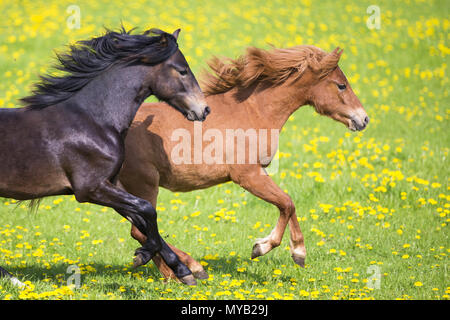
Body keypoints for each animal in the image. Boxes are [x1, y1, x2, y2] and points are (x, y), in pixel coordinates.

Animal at [0, 27, 211, 286]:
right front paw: (143, 256)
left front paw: (185, 272)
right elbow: (147, 210)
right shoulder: (90, 189)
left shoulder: (110, 184)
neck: (94, 121)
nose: (204, 110)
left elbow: (142, 221)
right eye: (182, 70)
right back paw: (15, 281)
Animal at [119, 44, 370, 280]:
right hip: (145, 184)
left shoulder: (259, 171)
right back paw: (188, 270)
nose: (364, 119)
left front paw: (293, 251)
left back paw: (179, 272)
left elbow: (288, 204)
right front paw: (274, 249)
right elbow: (287, 203)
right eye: (341, 85)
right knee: (142, 231)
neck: (252, 111)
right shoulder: (247, 176)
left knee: (141, 231)